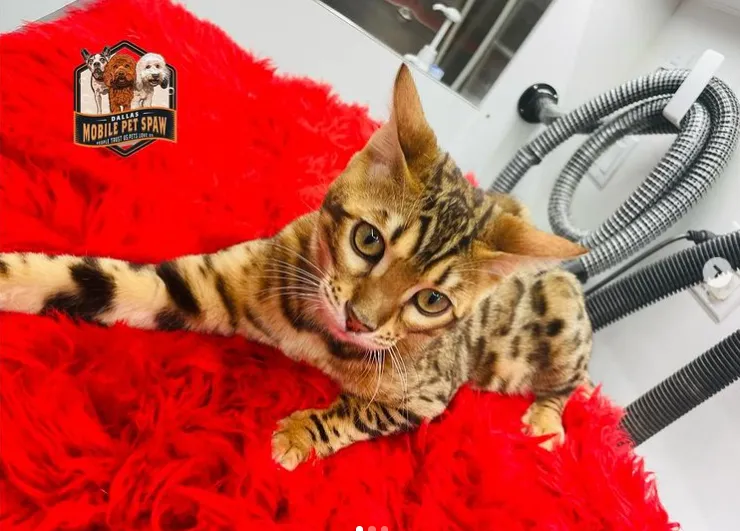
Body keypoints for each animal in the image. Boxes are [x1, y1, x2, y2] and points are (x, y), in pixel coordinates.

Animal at [0, 64, 592, 471]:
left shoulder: (429, 397)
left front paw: (302, 434)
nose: (359, 320)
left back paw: (549, 416)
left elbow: (362, 412)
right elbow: (95, 278)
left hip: (564, 315)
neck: (321, 338)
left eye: (431, 300)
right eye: (368, 240)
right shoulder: (209, 284)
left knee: (571, 376)